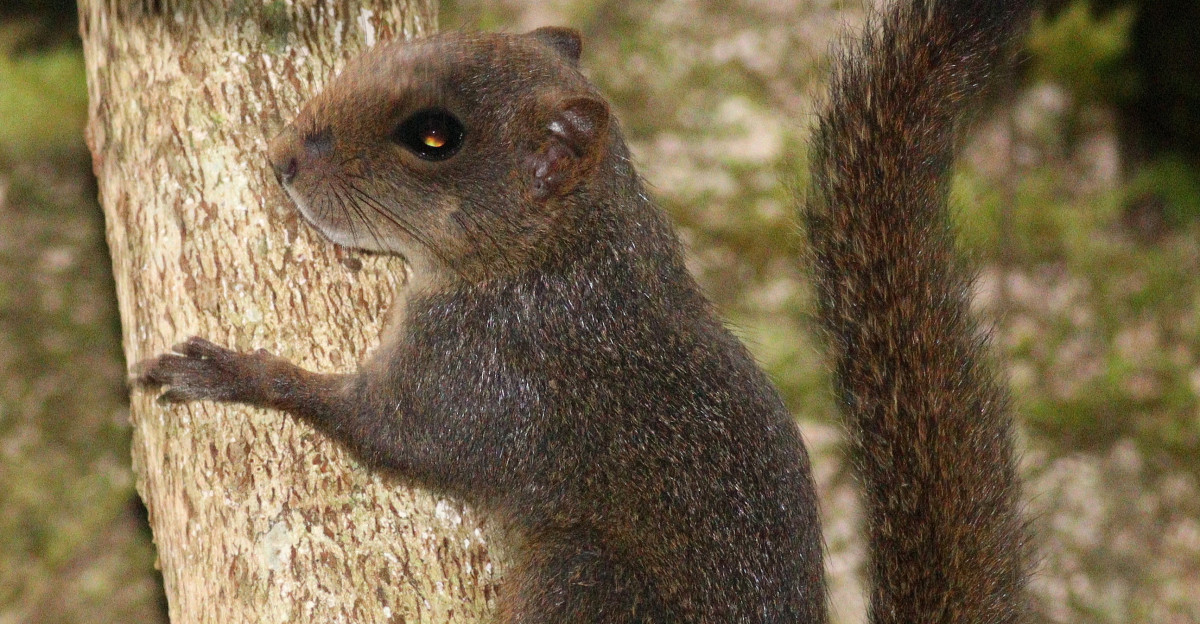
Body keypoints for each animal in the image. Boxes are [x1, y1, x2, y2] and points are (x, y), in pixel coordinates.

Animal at [137, 0, 1034, 621]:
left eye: (434, 138)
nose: (284, 157)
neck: (563, 253)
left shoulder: (487, 378)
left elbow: (384, 429)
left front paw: (229, 372)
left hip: (584, 577)